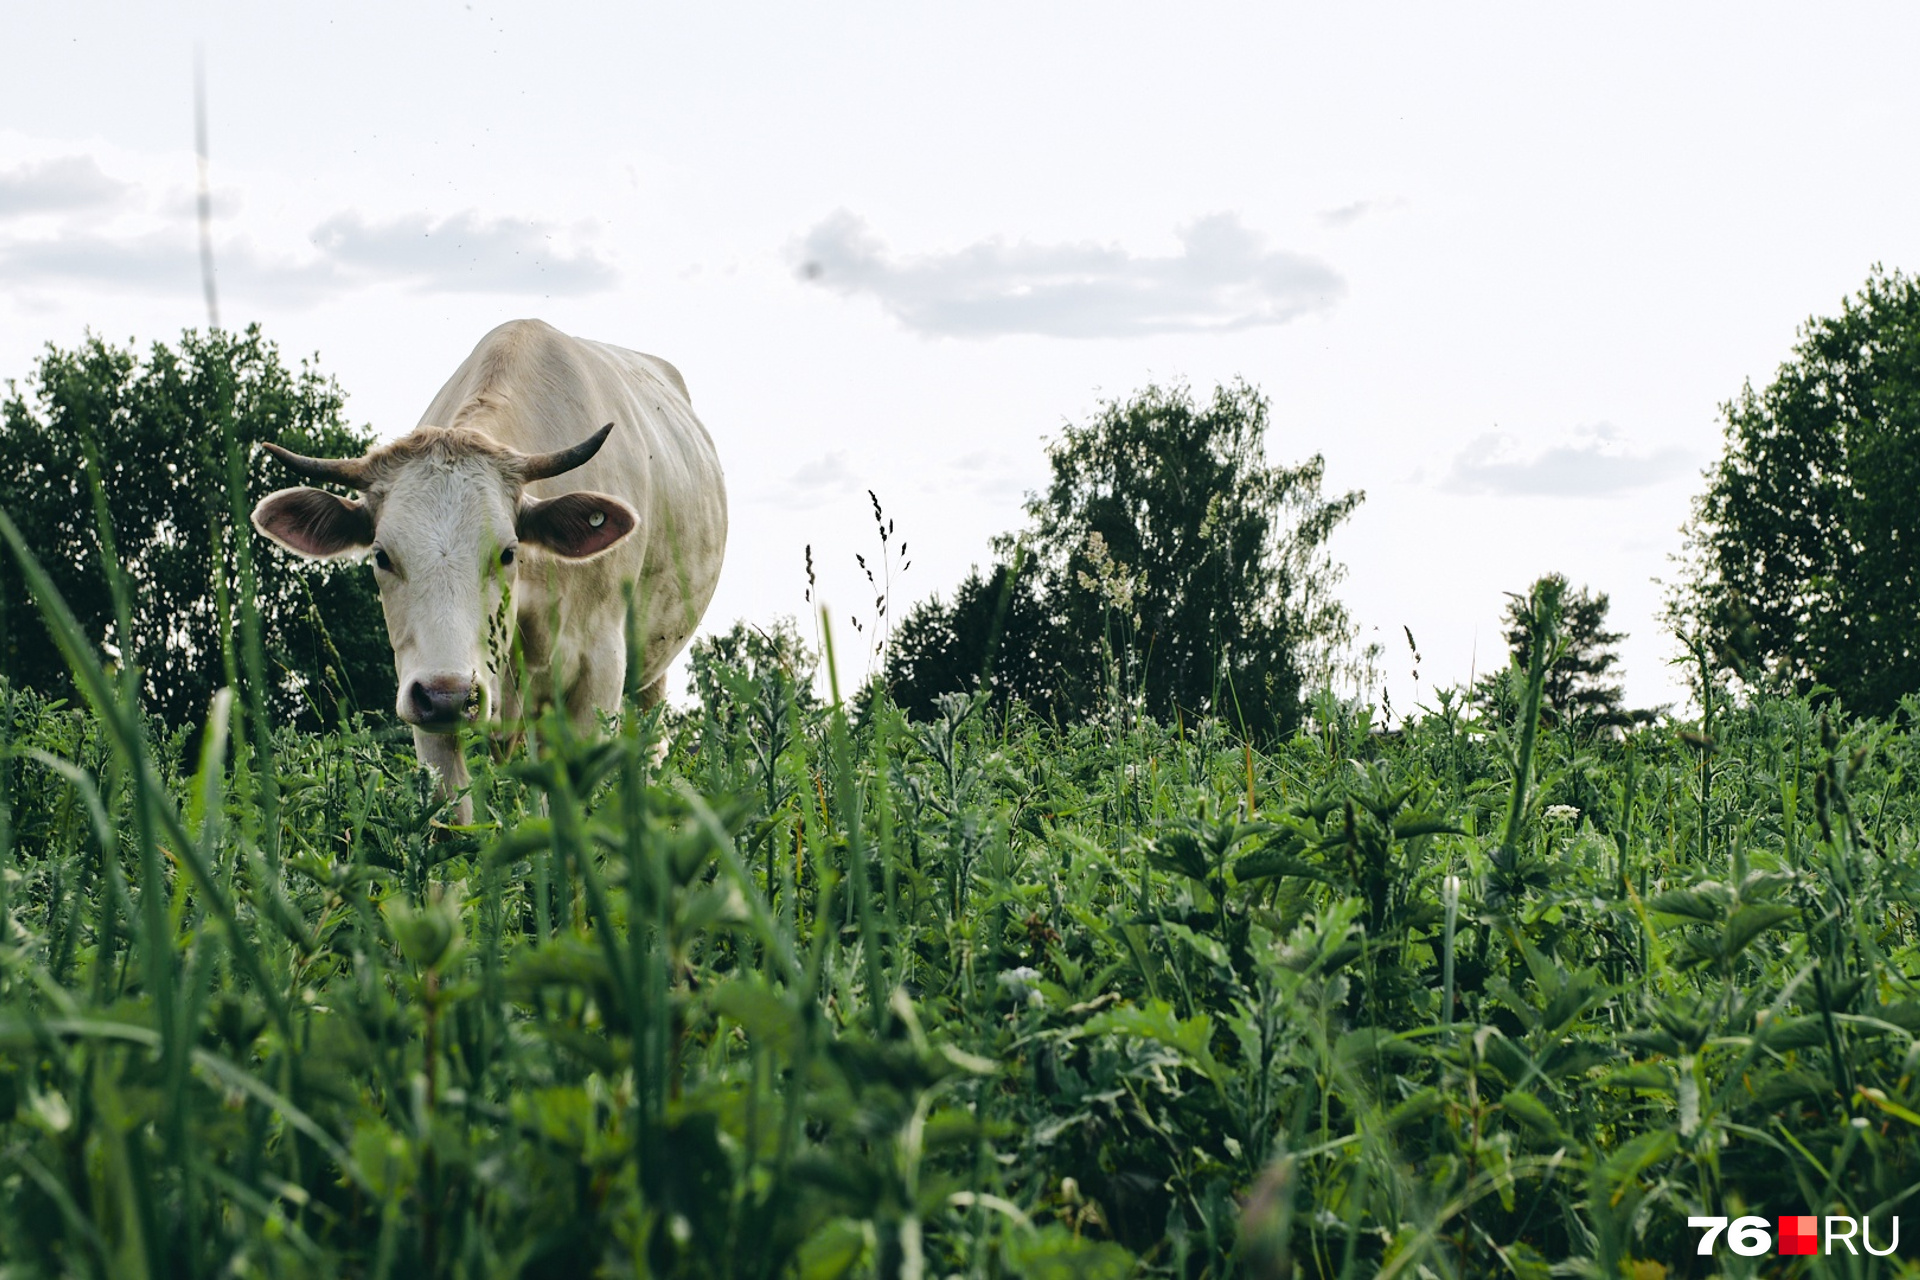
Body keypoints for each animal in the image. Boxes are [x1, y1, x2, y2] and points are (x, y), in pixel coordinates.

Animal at [253, 320, 725, 821]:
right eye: (381, 556)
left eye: (508, 552)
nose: (449, 694)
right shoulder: (421, 692)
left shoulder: (598, 669)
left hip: (648, 674)